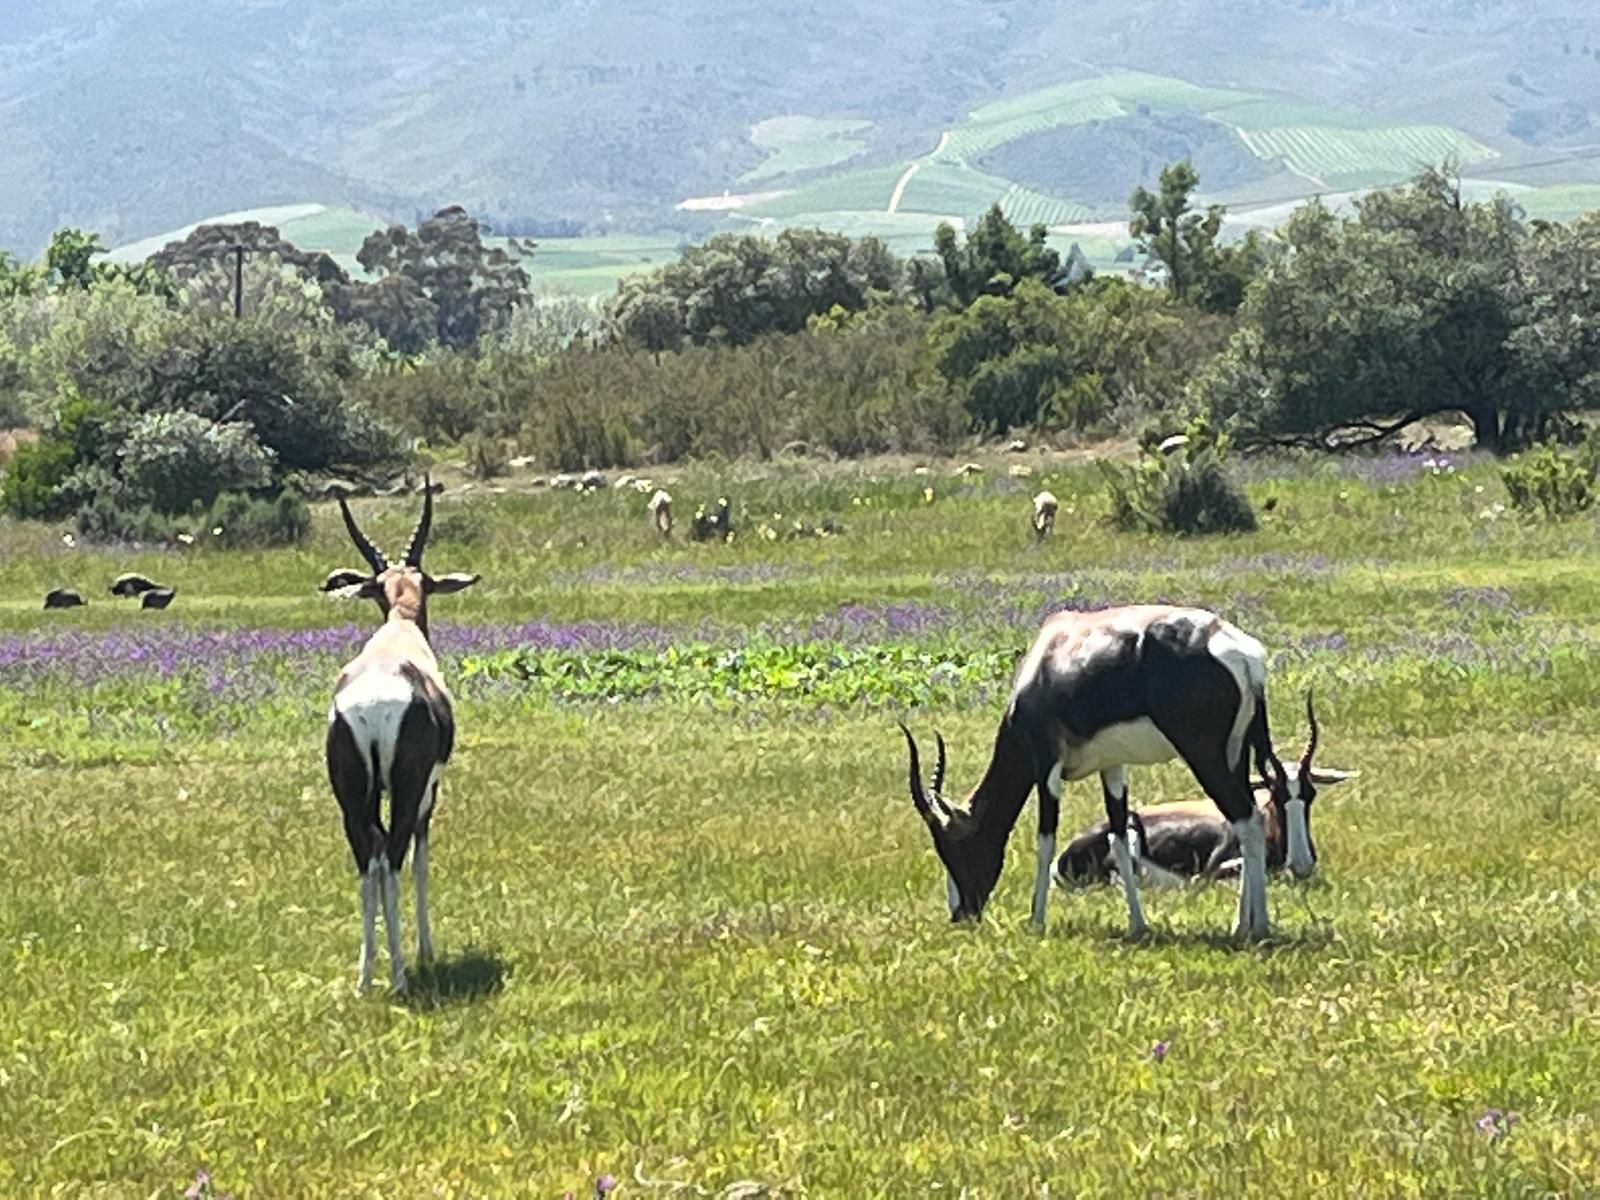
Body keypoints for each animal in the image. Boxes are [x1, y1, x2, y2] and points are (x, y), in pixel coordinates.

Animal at [321, 480, 476, 998]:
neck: (399, 632)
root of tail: (372, 705)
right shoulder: (429, 790)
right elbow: (422, 860)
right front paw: (427, 949)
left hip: (352, 798)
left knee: (367, 861)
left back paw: (365, 977)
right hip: (407, 791)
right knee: (391, 857)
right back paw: (401, 975)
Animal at [902, 604, 1299, 947]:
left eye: (952, 847)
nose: (961, 914)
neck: (1050, 656)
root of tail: (1242, 654)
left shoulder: (1047, 766)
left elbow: (1045, 840)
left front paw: (1036, 922)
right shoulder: (1113, 767)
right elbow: (1119, 839)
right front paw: (1138, 925)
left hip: (1204, 755)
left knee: (1246, 819)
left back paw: (1252, 927)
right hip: (1236, 754)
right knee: (1246, 817)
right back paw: (1244, 923)